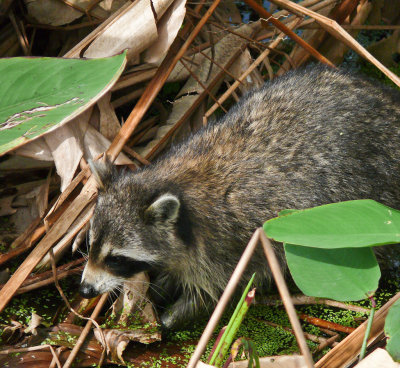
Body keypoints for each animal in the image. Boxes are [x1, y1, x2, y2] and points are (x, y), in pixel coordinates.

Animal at [79, 65, 400, 328]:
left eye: (116, 259)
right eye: (91, 244)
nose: (84, 289)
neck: (171, 184)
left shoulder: (232, 245)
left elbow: (223, 288)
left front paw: (175, 315)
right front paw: (166, 281)